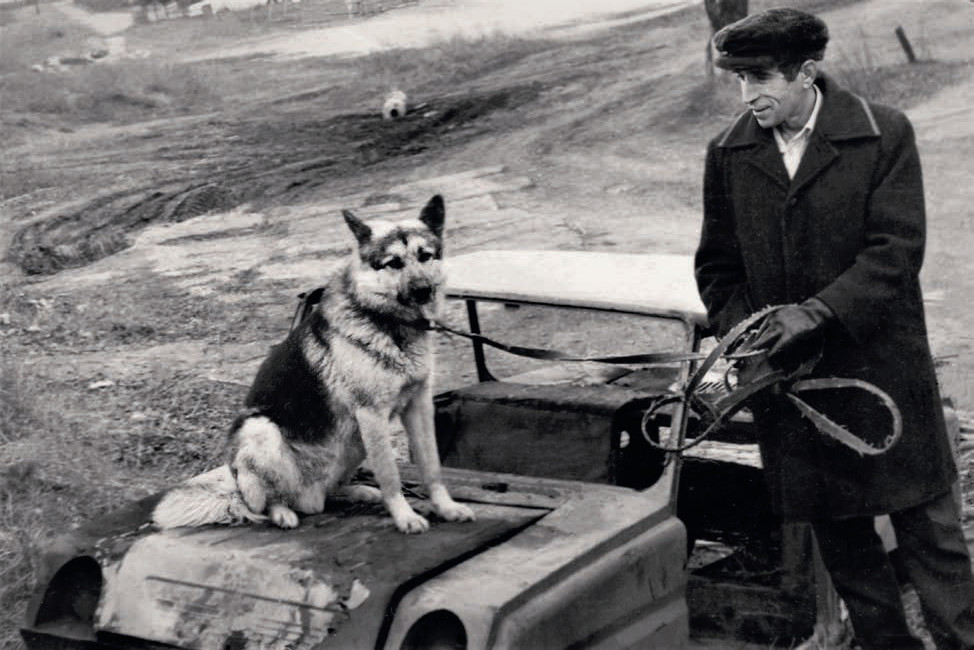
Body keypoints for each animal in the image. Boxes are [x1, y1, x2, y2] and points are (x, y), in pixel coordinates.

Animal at [152, 195, 475, 533]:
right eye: (393, 263)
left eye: (425, 256)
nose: (423, 291)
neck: (387, 322)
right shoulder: (371, 414)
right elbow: (390, 474)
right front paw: (405, 516)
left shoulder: (419, 406)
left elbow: (431, 465)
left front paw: (446, 507)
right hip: (262, 430)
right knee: (269, 501)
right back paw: (283, 513)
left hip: (354, 444)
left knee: (326, 496)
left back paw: (357, 491)